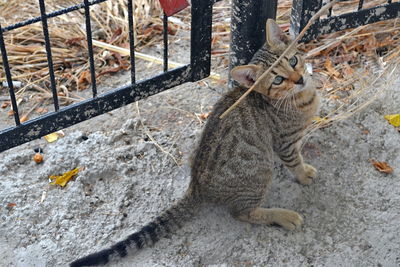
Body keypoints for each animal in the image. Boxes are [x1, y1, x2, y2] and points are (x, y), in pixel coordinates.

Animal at [71, 19, 318, 267]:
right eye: (278, 80)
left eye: (293, 61)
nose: (300, 79)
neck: (298, 99)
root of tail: (196, 187)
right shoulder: (284, 142)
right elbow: (294, 160)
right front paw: (303, 173)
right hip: (260, 171)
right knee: (242, 213)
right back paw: (283, 216)